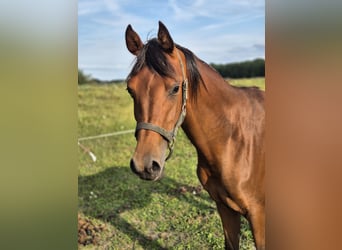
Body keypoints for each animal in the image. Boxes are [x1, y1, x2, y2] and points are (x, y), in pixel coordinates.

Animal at [125, 22, 264, 250]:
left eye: (175, 88)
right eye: (130, 90)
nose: (144, 165)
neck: (234, 141)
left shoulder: (259, 215)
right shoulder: (225, 207)